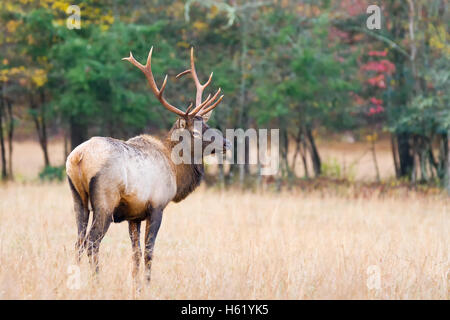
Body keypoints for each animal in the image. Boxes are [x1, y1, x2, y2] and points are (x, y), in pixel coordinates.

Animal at [65, 45, 230, 282]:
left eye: (208, 124)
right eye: (198, 131)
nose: (227, 142)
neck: (175, 170)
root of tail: (79, 157)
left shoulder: (134, 215)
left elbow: (135, 253)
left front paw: (135, 284)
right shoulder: (157, 206)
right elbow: (149, 252)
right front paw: (147, 283)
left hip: (77, 198)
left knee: (78, 241)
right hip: (105, 201)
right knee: (92, 242)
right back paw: (96, 280)